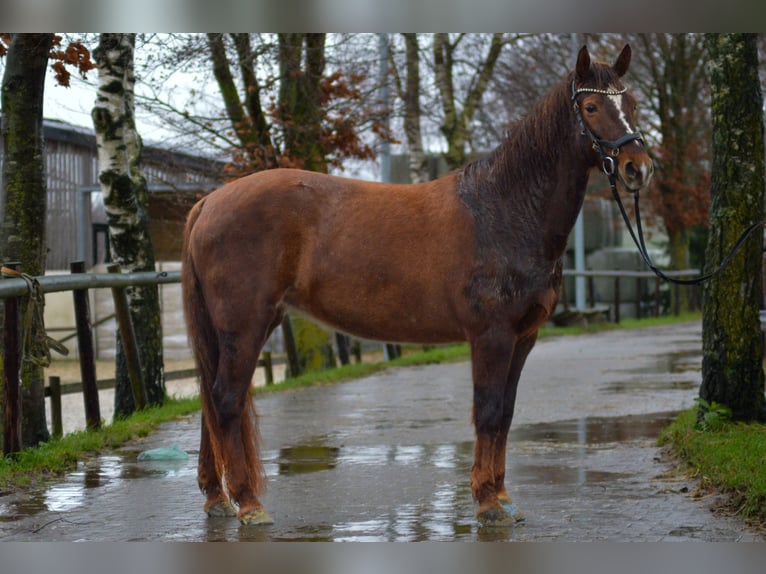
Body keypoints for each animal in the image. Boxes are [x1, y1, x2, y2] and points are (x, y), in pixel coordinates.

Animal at [182, 45, 656, 528]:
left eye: (633, 104)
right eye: (591, 106)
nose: (638, 169)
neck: (503, 210)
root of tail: (210, 201)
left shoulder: (523, 338)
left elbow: (504, 413)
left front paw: (503, 497)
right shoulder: (491, 336)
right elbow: (487, 412)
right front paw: (487, 502)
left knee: (209, 402)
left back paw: (217, 499)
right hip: (245, 327)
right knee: (225, 400)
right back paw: (249, 504)